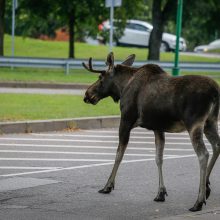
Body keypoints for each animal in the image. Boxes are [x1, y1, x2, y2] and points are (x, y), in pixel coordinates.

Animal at [83, 52, 220, 212]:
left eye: (100, 77)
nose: (87, 95)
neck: (123, 87)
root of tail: (215, 92)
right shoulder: (158, 128)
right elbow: (158, 158)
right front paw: (160, 193)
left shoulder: (126, 120)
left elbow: (118, 155)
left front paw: (108, 186)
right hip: (210, 122)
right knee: (217, 146)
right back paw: (206, 187)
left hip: (194, 123)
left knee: (203, 154)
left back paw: (198, 201)